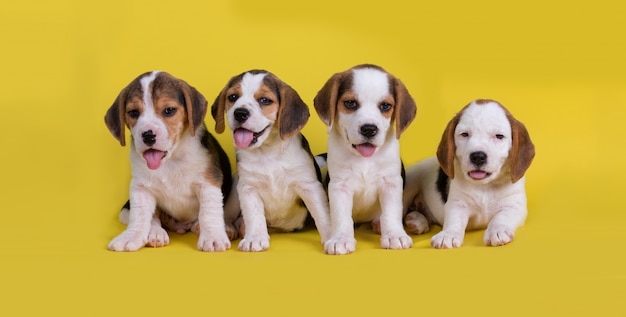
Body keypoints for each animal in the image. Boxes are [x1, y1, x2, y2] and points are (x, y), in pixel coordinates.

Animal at [103, 70, 233, 251]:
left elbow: (209, 212)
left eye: (169, 110)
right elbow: (140, 216)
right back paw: (156, 233)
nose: (148, 135)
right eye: (134, 113)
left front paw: (213, 237)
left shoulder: (208, 183)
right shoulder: (140, 187)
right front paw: (131, 236)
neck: (170, 160)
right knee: (153, 217)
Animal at [211, 69, 332, 252]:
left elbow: (322, 214)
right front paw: (254, 238)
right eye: (232, 97)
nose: (239, 113)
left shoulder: (309, 187)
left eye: (265, 100)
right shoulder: (248, 188)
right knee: (231, 215)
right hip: (235, 185)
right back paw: (229, 228)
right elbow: (254, 216)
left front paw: (334, 236)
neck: (268, 152)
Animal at [312, 64, 420, 254]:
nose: (369, 129)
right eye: (350, 103)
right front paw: (341, 238)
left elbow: (390, 213)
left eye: (385, 106)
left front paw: (394, 235)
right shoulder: (339, 186)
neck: (364, 159)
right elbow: (342, 216)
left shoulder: (391, 183)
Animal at [402, 99, 532, 247]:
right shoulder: (457, 204)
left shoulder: (514, 205)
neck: (485, 186)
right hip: (410, 185)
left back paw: (417, 220)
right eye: (464, 134)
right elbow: (454, 221)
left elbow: (501, 217)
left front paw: (497, 230)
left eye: (499, 136)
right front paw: (448, 234)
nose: (478, 156)